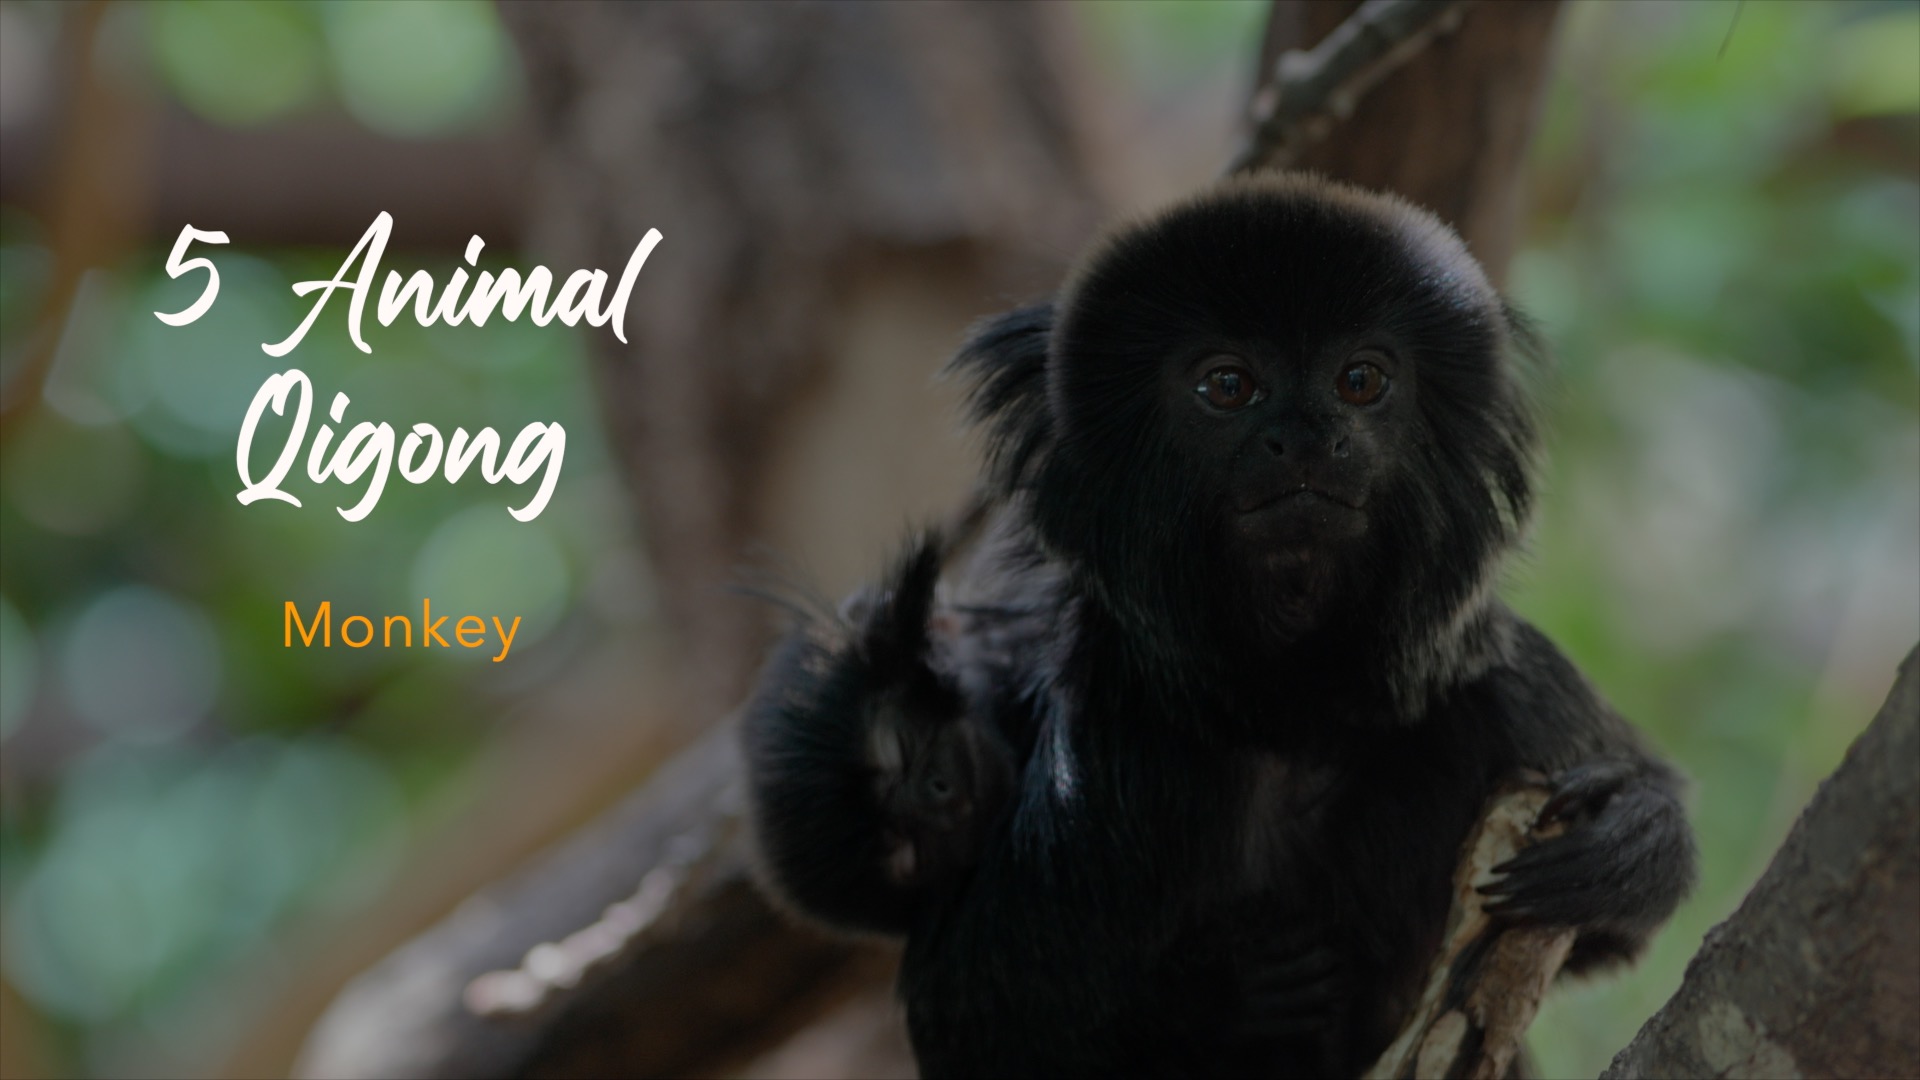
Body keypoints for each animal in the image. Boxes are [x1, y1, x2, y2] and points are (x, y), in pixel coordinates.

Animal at [740, 173, 1698, 1076]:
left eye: (1361, 380)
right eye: (1228, 386)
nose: (1306, 437)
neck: (1284, 712)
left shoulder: (1498, 688)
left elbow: (1606, 930)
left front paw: (1628, 841)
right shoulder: (1101, 773)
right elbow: (978, 1020)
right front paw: (1220, 997)